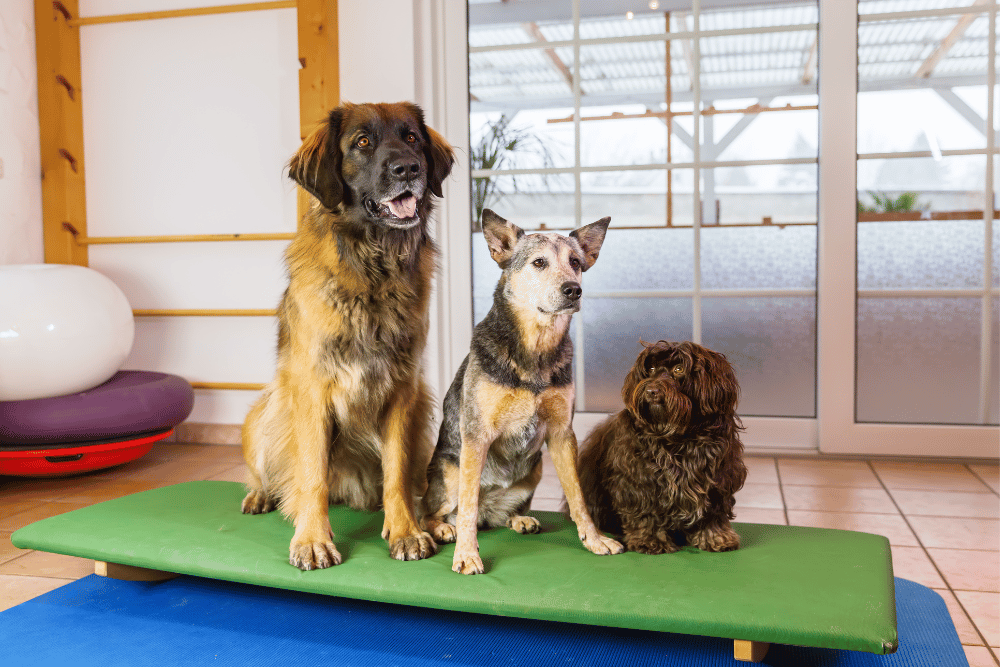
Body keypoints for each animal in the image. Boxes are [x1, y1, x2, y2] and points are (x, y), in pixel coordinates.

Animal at [244, 102, 456, 572]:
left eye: (412, 137)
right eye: (362, 142)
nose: (408, 168)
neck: (373, 269)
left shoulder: (403, 392)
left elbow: (396, 472)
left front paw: (406, 530)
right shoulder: (312, 391)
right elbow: (312, 475)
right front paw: (311, 540)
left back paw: (432, 519)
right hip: (266, 414)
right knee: (269, 471)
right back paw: (261, 494)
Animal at [422, 207, 624, 576]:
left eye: (575, 261)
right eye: (539, 263)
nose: (573, 290)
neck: (536, 352)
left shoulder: (562, 435)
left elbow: (578, 497)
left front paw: (594, 539)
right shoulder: (476, 436)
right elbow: (468, 505)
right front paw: (466, 554)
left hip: (537, 467)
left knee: (502, 514)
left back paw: (519, 519)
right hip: (449, 470)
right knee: (435, 510)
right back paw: (444, 528)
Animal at [576, 342, 748, 556]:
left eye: (679, 369)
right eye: (650, 369)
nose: (651, 391)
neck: (678, 436)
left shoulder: (719, 477)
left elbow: (714, 513)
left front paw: (715, 536)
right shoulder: (639, 479)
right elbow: (645, 511)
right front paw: (649, 540)